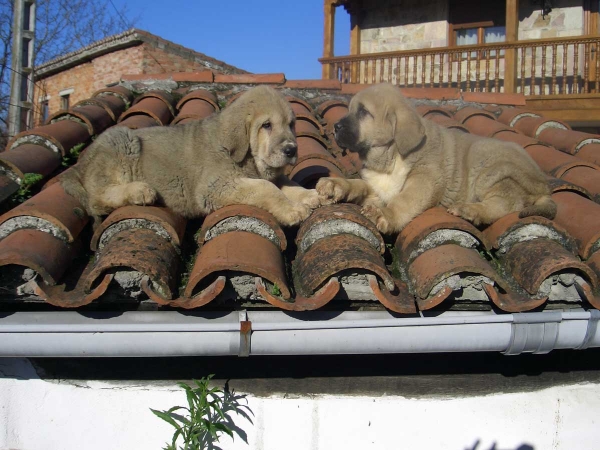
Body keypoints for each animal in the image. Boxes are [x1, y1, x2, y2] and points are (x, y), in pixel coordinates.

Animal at [61, 85, 322, 229]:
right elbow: (266, 188)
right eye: (266, 125)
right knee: (97, 198)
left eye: (291, 125)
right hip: (122, 140)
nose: (291, 150)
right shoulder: (214, 187)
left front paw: (310, 194)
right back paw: (139, 191)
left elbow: (285, 183)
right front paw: (292, 210)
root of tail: (81, 163)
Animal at [316, 82, 556, 234]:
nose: (335, 127)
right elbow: (358, 185)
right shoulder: (377, 190)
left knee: (505, 204)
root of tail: (544, 185)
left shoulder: (426, 179)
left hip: (492, 169)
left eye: (363, 112)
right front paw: (336, 184)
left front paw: (387, 214)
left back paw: (470, 209)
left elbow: (404, 199)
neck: (390, 158)